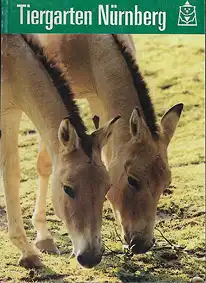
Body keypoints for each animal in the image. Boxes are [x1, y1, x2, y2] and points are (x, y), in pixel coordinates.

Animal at [1, 35, 120, 268]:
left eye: (107, 188)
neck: (9, 61)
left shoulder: (10, 112)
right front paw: (28, 251)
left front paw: (27, 251)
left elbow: (11, 175)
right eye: (67, 188)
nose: (90, 257)